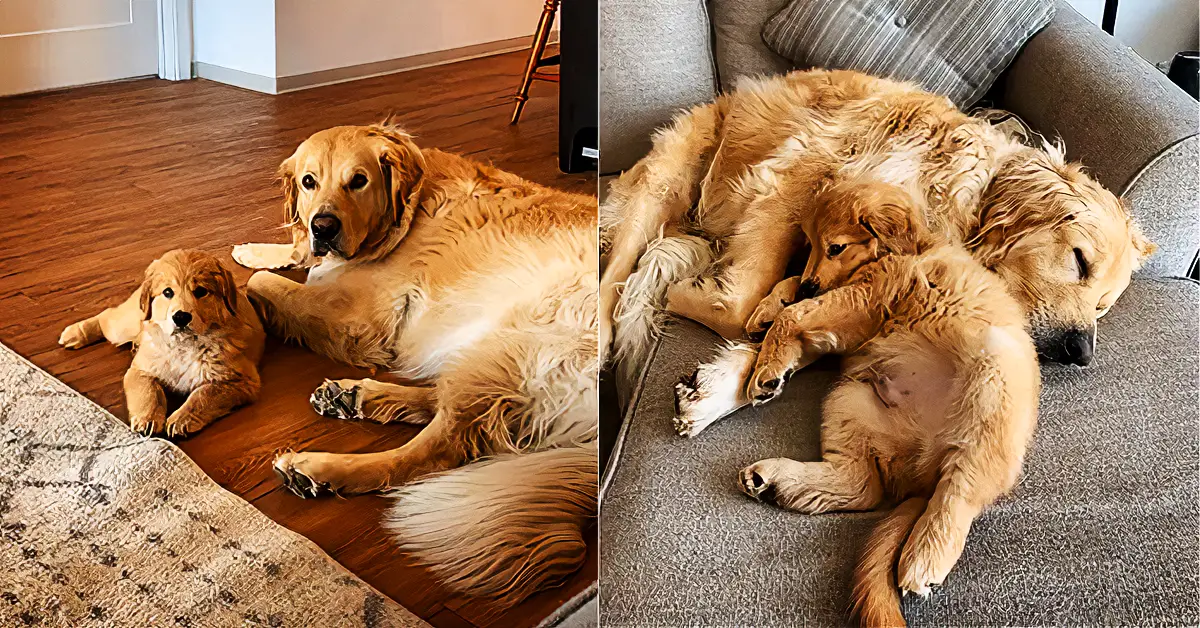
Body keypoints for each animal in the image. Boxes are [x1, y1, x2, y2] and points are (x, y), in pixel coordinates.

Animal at [59, 249, 264, 437]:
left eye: (201, 292)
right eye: (167, 292)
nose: (181, 317)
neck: (184, 344)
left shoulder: (240, 381)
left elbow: (203, 394)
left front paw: (181, 419)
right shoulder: (140, 369)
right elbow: (148, 391)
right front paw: (147, 419)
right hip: (126, 325)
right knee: (106, 316)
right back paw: (74, 334)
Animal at [229, 124, 595, 609]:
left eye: (358, 181)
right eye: (309, 182)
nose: (323, 228)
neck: (407, 212)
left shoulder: (359, 322)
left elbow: (262, 285)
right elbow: (288, 256)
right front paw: (258, 249)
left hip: (519, 336)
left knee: (439, 448)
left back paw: (320, 469)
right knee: (447, 407)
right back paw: (356, 395)